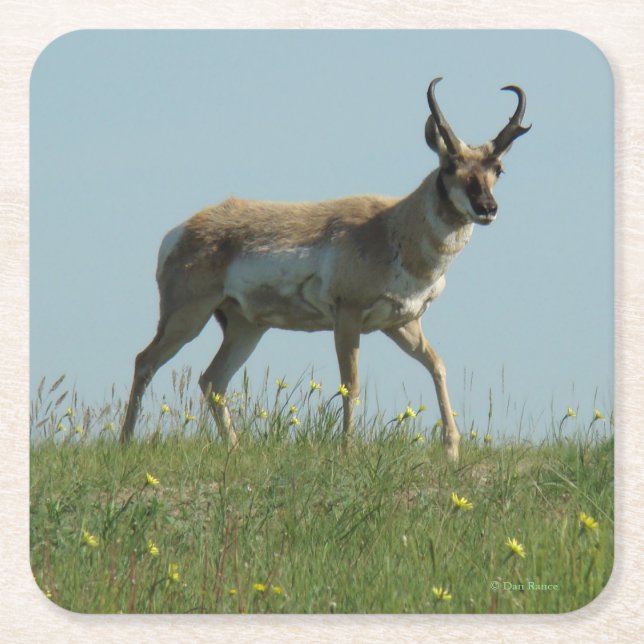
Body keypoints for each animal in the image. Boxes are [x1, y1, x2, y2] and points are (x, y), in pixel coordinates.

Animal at [120, 77, 530, 461]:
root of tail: (181, 230)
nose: (487, 208)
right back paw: (125, 441)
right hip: (187, 316)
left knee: (211, 380)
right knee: (146, 361)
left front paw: (452, 450)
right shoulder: (348, 316)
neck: (393, 226)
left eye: (498, 169)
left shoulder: (402, 323)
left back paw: (234, 449)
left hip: (245, 326)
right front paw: (348, 449)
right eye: (448, 166)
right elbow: (352, 384)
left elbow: (438, 366)